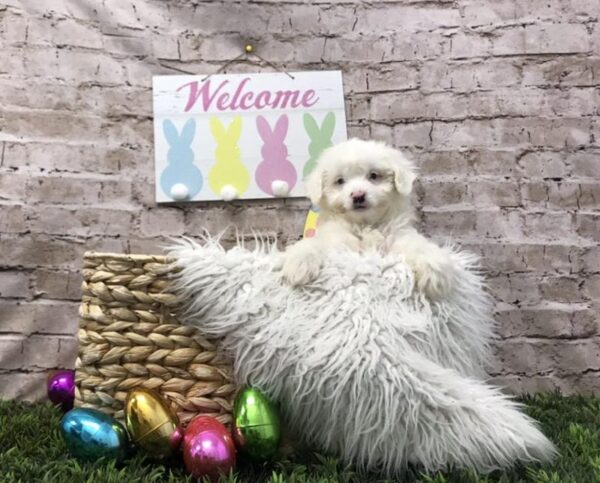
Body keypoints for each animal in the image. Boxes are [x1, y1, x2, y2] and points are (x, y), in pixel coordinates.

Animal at [282, 139, 454, 298]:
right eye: (340, 181)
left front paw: (435, 269)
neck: (364, 224)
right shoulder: (337, 242)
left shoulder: (396, 238)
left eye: (373, 176)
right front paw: (299, 263)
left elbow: (418, 245)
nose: (358, 195)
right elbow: (316, 244)